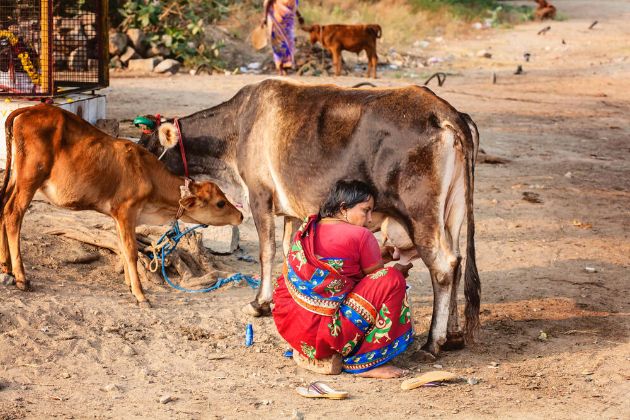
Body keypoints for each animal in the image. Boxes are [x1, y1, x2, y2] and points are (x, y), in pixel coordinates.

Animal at [138, 79, 482, 354]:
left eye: (148, 149)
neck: (235, 129)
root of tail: (443, 112)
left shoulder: (259, 195)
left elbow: (267, 251)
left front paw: (259, 303)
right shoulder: (291, 210)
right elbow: (287, 250)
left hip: (421, 214)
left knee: (443, 266)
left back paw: (433, 342)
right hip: (452, 214)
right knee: (457, 260)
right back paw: (452, 335)